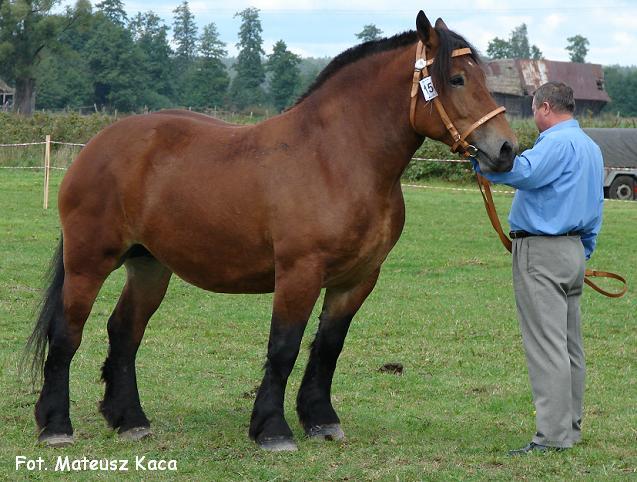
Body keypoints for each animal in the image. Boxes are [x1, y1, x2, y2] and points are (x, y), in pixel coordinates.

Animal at [28, 11, 516, 452]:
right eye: (456, 78)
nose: (506, 149)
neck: (336, 158)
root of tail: (98, 145)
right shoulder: (299, 272)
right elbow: (284, 347)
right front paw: (273, 430)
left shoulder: (357, 279)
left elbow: (328, 347)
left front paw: (321, 421)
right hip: (88, 262)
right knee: (66, 332)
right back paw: (56, 426)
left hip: (149, 266)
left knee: (124, 332)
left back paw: (129, 420)